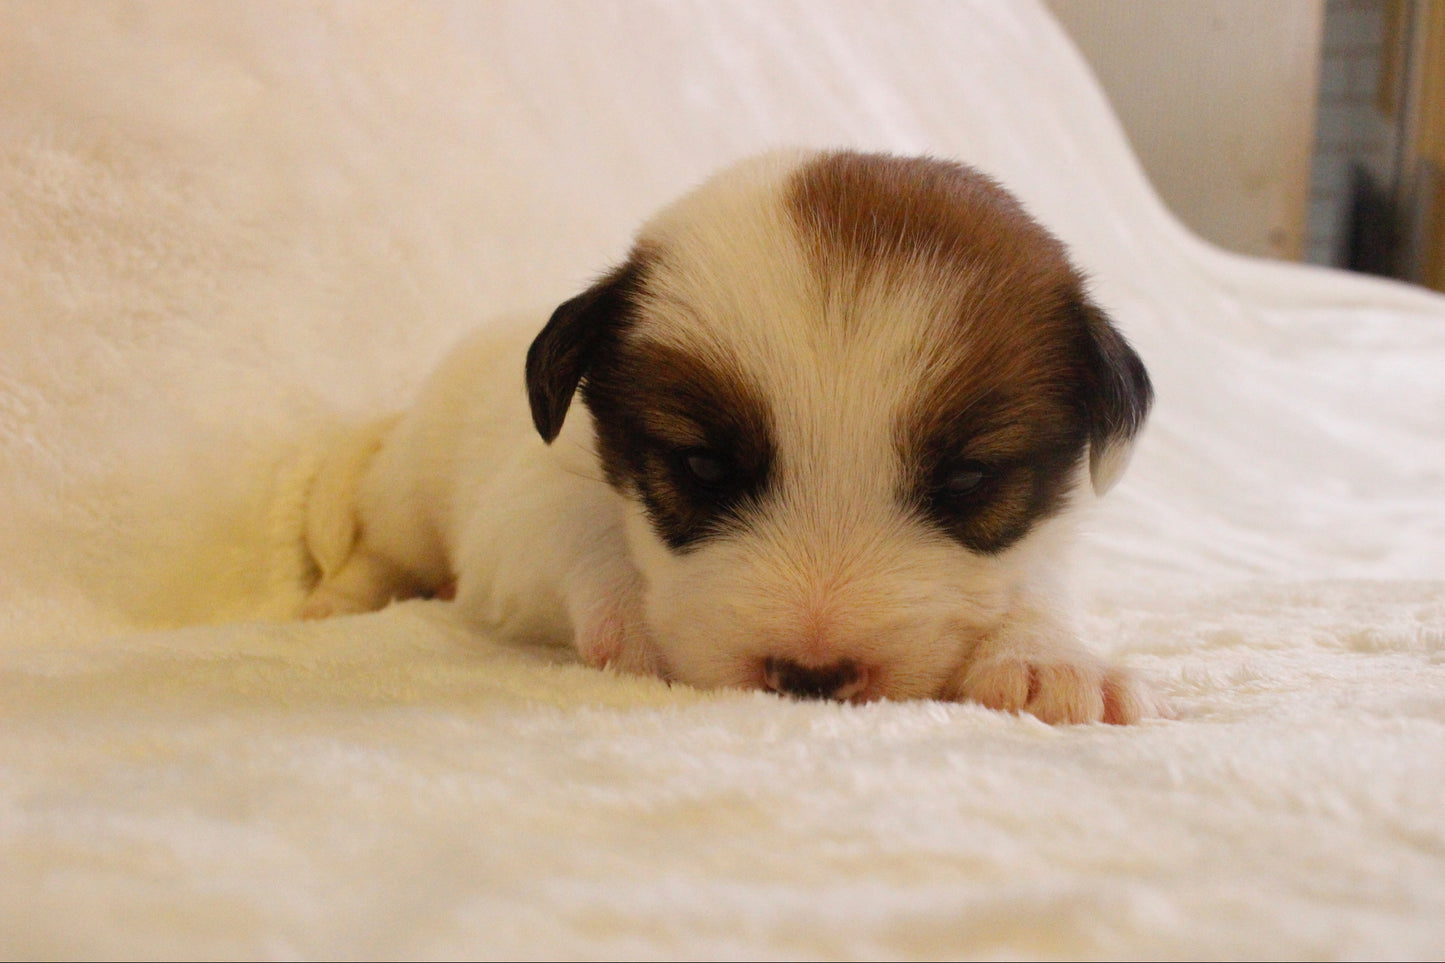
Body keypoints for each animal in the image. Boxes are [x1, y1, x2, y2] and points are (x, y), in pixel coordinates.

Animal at [304, 148, 1161, 720]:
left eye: (965, 479)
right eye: (704, 466)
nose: (812, 675)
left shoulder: (1044, 536)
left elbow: (1035, 582)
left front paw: (1046, 655)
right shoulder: (521, 507)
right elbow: (578, 525)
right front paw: (635, 622)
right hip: (411, 491)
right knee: (383, 546)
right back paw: (334, 602)